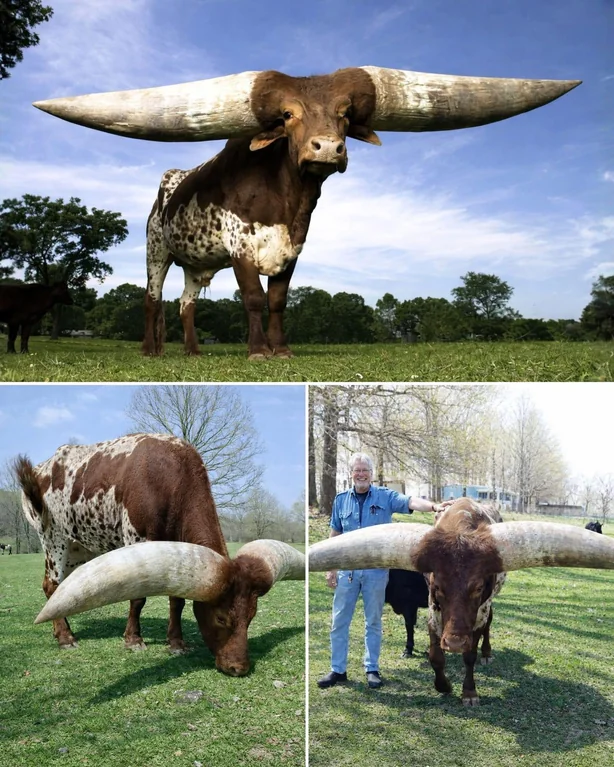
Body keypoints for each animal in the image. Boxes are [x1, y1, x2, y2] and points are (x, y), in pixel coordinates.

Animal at [15, 434, 304, 676]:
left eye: (251, 616)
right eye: (221, 618)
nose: (239, 667)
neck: (171, 480)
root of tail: (42, 467)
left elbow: (177, 600)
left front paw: (176, 642)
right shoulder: (137, 538)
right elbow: (138, 599)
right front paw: (134, 640)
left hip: (80, 548)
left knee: (55, 587)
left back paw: (61, 633)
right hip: (54, 539)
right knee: (52, 585)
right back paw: (66, 638)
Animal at [32, 68, 580, 359]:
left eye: (344, 115)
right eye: (289, 116)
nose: (328, 148)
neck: (288, 202)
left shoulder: (293, 249)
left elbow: (278, 301)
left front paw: (281, 349)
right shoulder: (241, 248)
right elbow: (254, 300)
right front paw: (257, 352)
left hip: (197, 262)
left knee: (187, 301)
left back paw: (192, 351)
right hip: (156, 250)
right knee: (152, 297)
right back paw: (153, 350)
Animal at [309, 498, 614, 705]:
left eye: (477, 586)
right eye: (437, 586)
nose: (454, 641)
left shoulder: (478, 613)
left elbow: (470, 655)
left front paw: (469, 692)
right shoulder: (432, 614)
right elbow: (435, 656)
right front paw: (443, 685)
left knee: (489, 626)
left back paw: (487, 654)